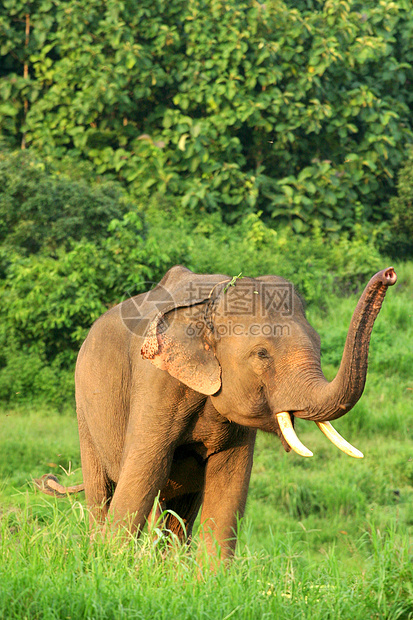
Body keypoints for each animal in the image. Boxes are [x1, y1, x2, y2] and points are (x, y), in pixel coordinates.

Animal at [35, 264, 396, 560]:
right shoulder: (155, 381)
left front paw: (208, 581)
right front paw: (112, 564)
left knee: (176, 511)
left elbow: (230, 484)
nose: (390, 274)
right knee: (103, 491)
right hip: (83, 408)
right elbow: (143, 472)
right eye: (262, 354)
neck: (209, 306)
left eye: (319, 344)